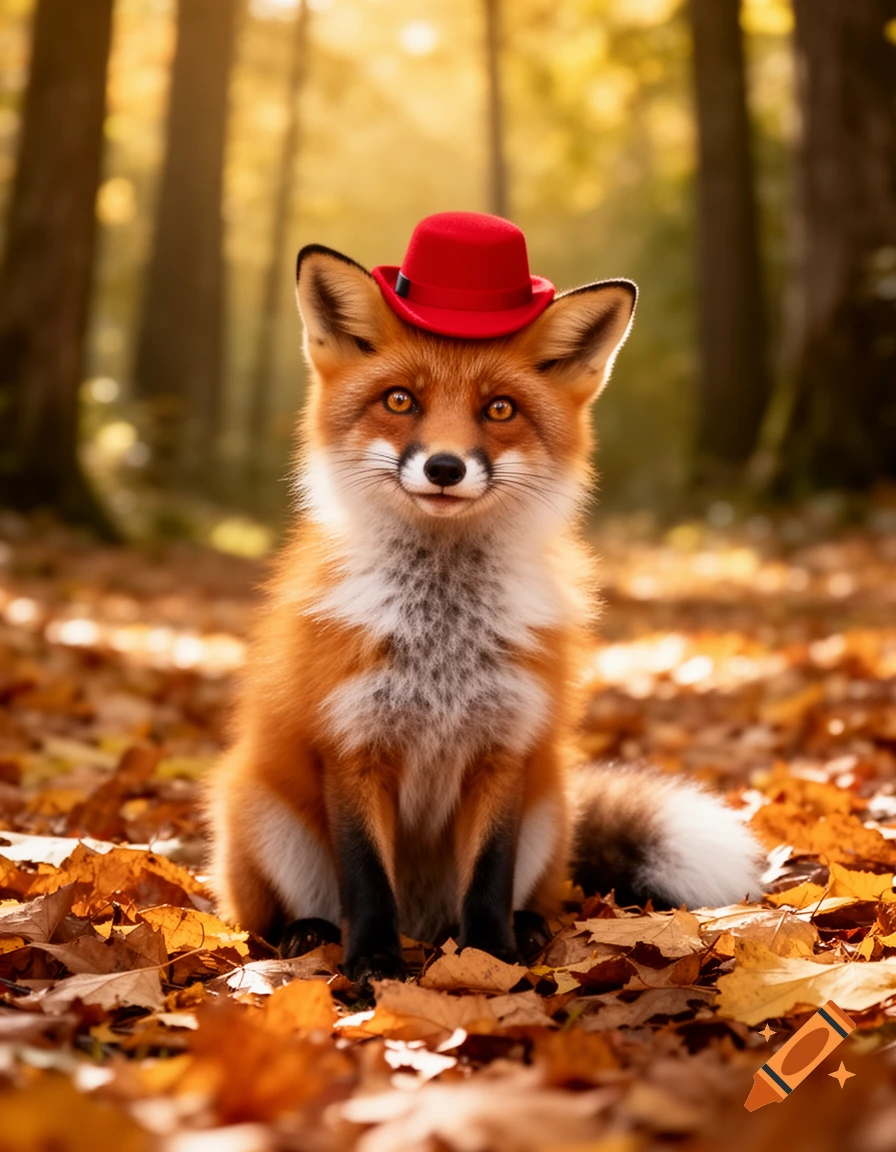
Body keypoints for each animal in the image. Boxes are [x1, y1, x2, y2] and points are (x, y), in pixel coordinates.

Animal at [207, 221, 762, 985]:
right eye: (400, 400)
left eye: (499, 409)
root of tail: (423, 921)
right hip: (259, 809)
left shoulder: (506, 747)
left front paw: (491, 958)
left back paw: (525, 929)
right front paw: (373, 963)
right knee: (270, 918)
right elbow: (365, 879)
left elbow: (490, 878)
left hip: (550, 807)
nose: (444, 467)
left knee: (521, 893)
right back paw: (309, 935)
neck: (443, 633)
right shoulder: (352, 745)